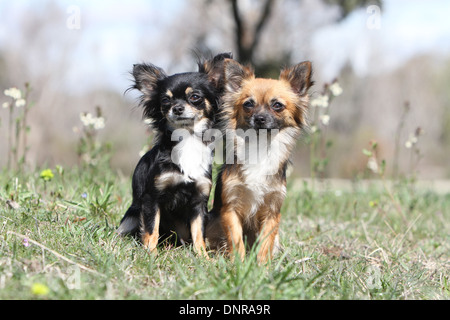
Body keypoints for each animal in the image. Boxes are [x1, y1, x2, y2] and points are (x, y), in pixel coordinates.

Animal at [117, 53, 232, 258]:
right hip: (131, 216)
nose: (177, 108)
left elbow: (198, 232)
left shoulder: (199, 202)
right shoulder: (152, 198)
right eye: (165, 101)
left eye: (195, 97)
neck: (187, 139)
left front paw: (203, 257)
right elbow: (151, 229)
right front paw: (151, 253)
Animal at [207, 58, 312, 264]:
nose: (260, 118)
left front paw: (262, 266)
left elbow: (265, 242)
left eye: (277, 105)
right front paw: (239, 264)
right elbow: (236, 239)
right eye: (248, 104)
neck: (260, 147)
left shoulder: (272, 210)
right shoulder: (230, 208)